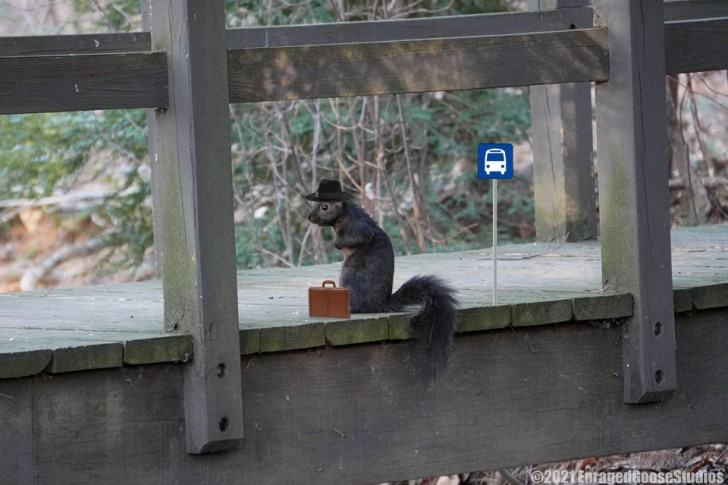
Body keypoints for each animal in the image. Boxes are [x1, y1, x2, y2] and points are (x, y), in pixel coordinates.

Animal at [306, 179, 456, 382]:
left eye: (324, 207)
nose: (310, 218)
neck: (343, 216)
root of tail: (380, 303)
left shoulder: (358, 228)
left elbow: (354, 238)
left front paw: (338, 243)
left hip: (351, 274)